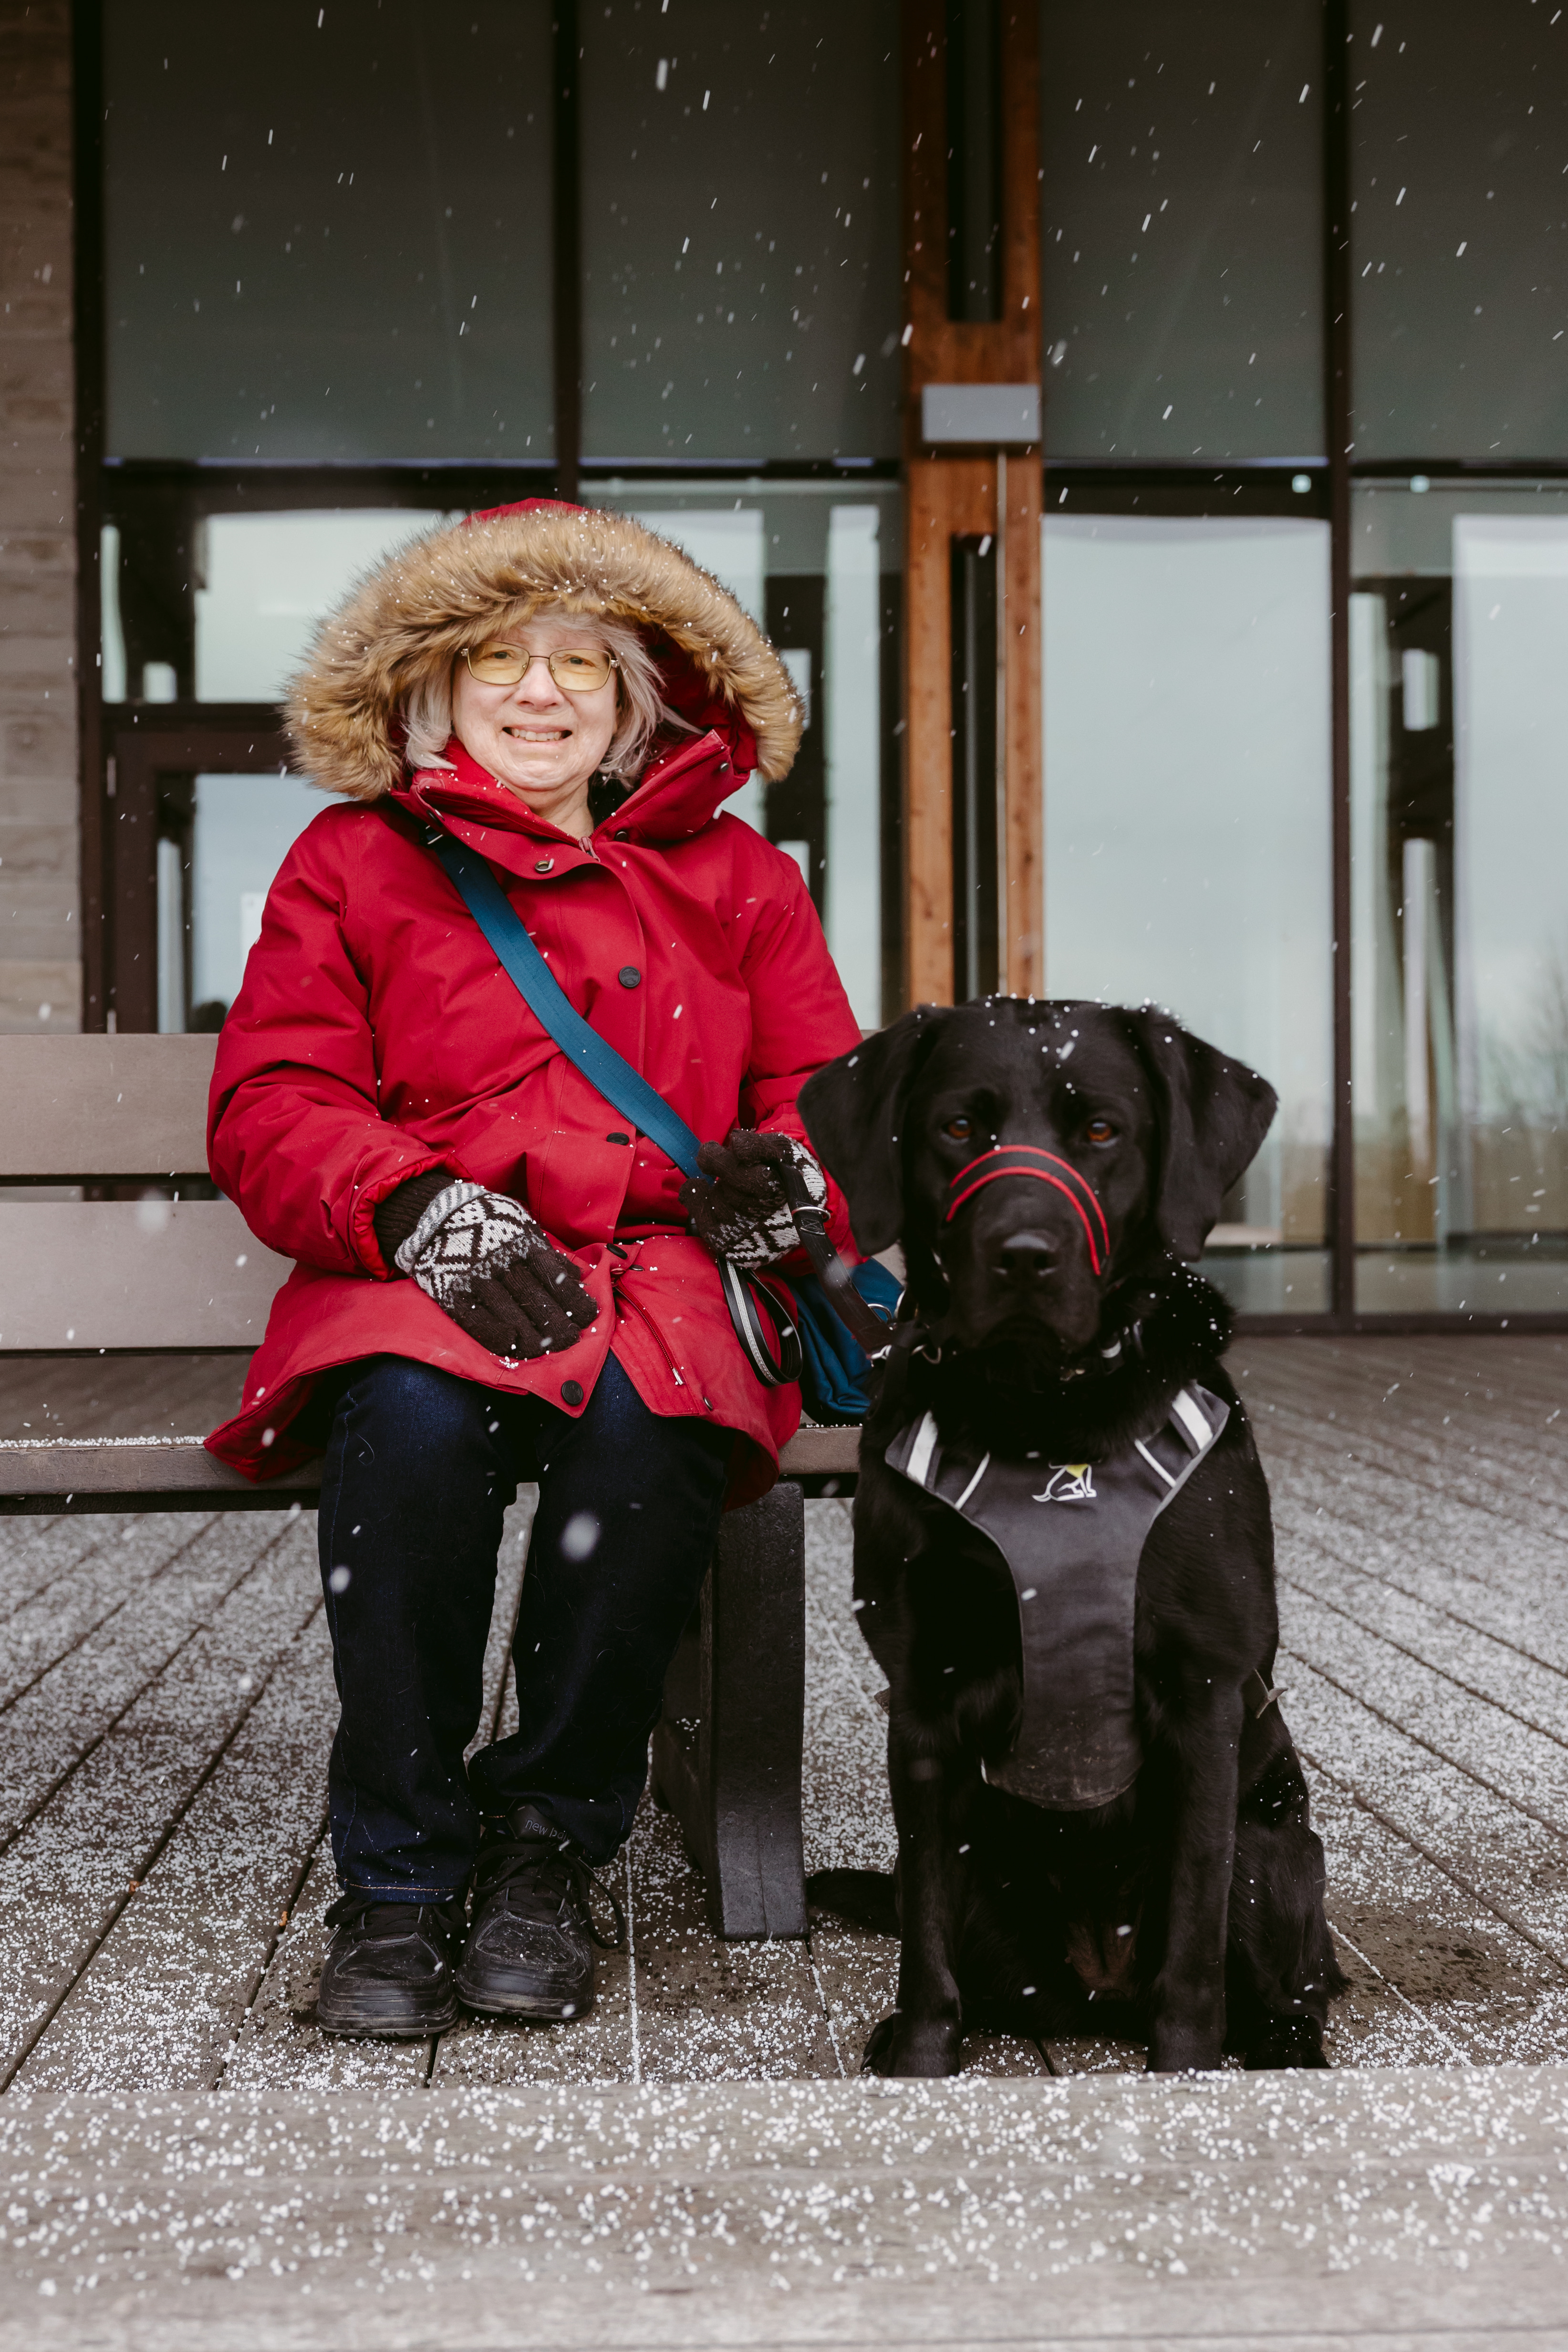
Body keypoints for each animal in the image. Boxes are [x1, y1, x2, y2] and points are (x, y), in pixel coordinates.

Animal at [804, 992, 1344, 2079]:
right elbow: (925, 1944)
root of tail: (1099, 1980)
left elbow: (1191, 1948)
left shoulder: (1201, 1694)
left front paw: (1186, 2069)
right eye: (956, 1127)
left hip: (1276, 1848)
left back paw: (1280, 2043)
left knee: (1277, 1981)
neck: (1043, 1423)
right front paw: (917, 2055)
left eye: (1100, 1131)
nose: (1023, 1255)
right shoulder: (919, 1695)